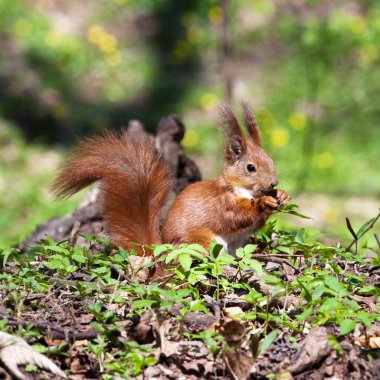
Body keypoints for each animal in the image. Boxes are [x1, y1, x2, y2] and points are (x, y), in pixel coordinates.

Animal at [52, 103, 290, 255]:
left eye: (271, 160)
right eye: (251, 168)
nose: (274, 183)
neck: (243, 189)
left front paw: (283, 196)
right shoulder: (222, 203)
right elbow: (237, 216)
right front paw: (264, 202)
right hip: (200, 242)